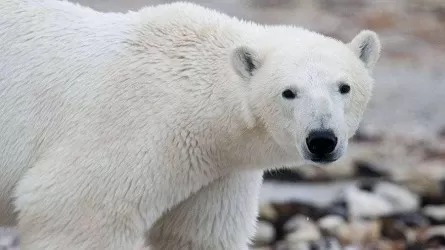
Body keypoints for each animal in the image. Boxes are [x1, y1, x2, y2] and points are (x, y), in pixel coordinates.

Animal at [0, 0, 380, 249]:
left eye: (344, 87)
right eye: (289, 92)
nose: (322, 139)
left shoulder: (219, 173)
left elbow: (198, 235)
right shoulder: (132, 127)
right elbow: (73, 209)